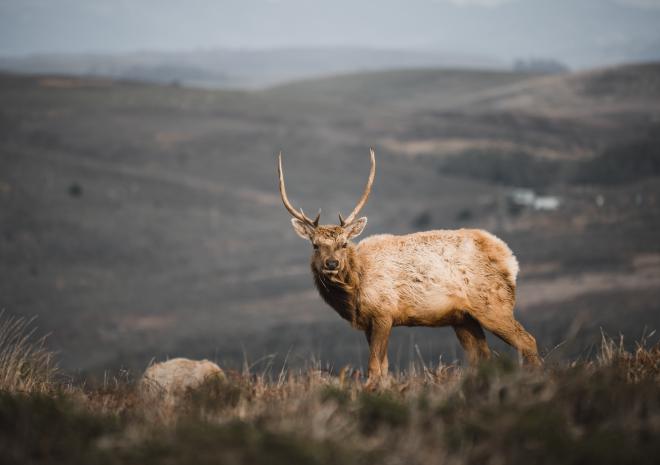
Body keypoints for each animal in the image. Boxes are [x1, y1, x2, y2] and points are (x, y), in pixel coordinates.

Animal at [276, 148, 540, 384]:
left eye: (343, 243)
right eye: (315, 245)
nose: (331, 263)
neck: (355, 291)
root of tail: (509, 258)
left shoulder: (384, 313)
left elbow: (374, 368)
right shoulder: (368, 323)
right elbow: (383, 368)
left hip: (493, 304)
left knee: (527, 342)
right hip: (464, 318)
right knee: (481, 357)